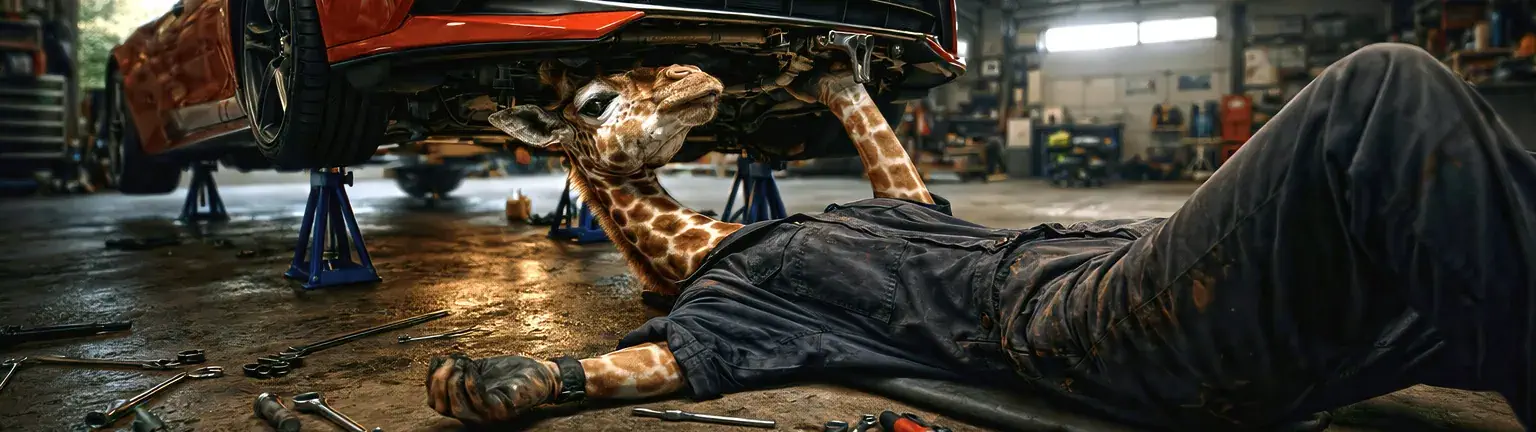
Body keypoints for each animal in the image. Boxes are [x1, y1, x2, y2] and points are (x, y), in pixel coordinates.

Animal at [426, 62, 935, 424]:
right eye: (594, 103)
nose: (694, 74)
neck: (711, 245)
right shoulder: (723, 325)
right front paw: (488, 383)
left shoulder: (911, 206)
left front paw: (823, 73)